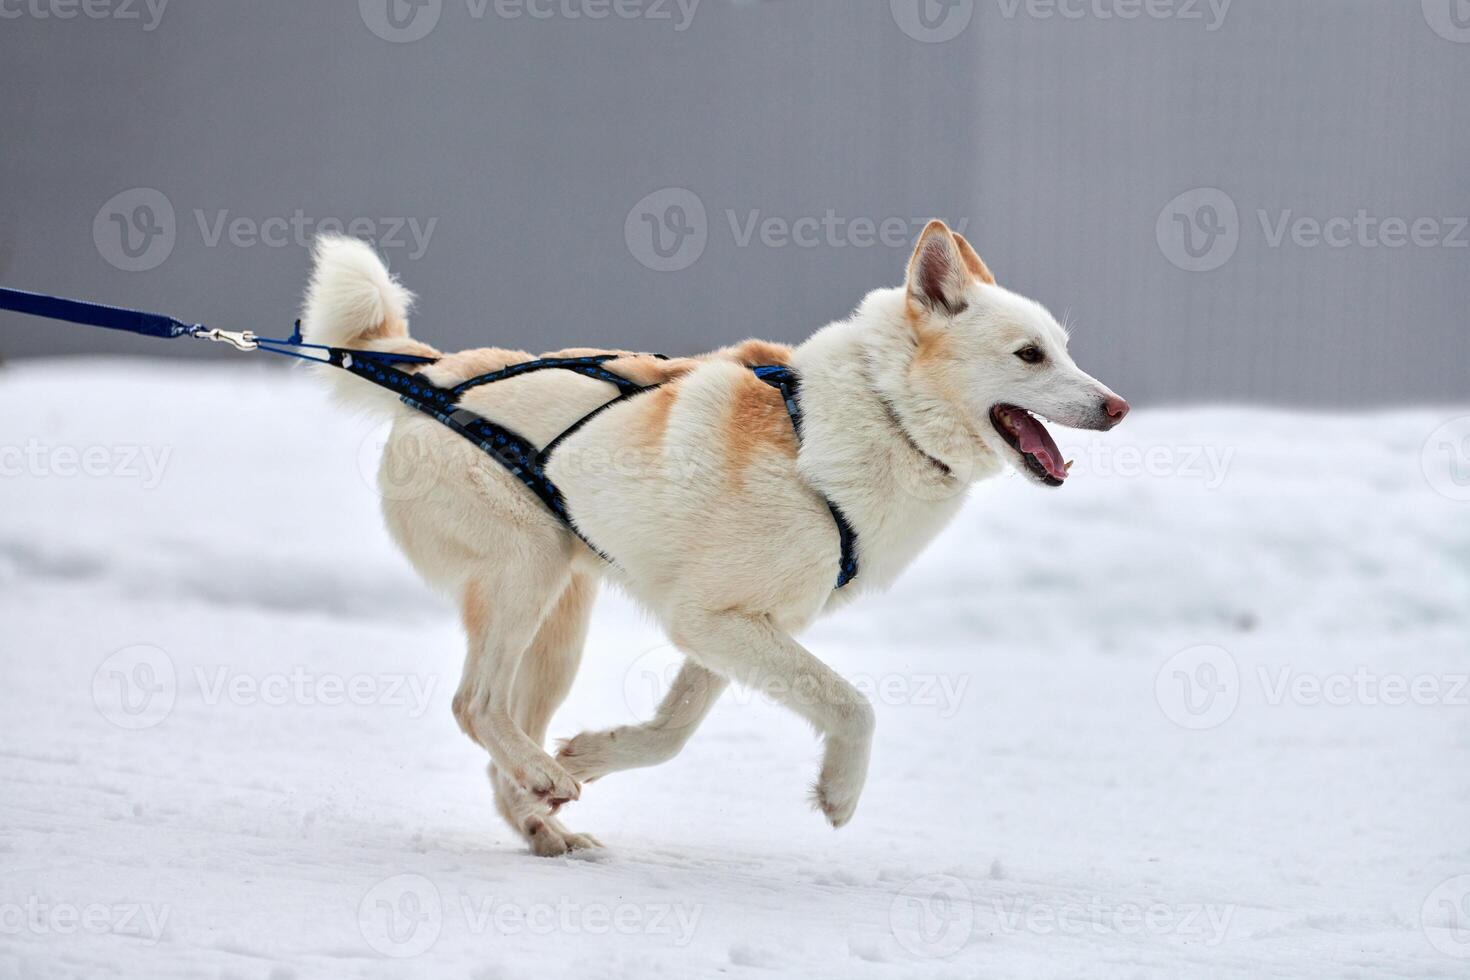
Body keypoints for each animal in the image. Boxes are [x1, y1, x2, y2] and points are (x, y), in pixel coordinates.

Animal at [298, 221, 1123, 852]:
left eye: (1065, 348)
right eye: (1029, 354)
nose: (1117, 407)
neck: (878, 418)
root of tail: (433, 377)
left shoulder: (735, 629)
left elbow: (673, 733)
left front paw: (593, 757)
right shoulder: (711, 621)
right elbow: (854, 706)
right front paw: (840, 792)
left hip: (561, 621)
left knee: (502, 730)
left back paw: (543, 815)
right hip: (523, 573)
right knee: (474, 705)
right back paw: (540, 779)